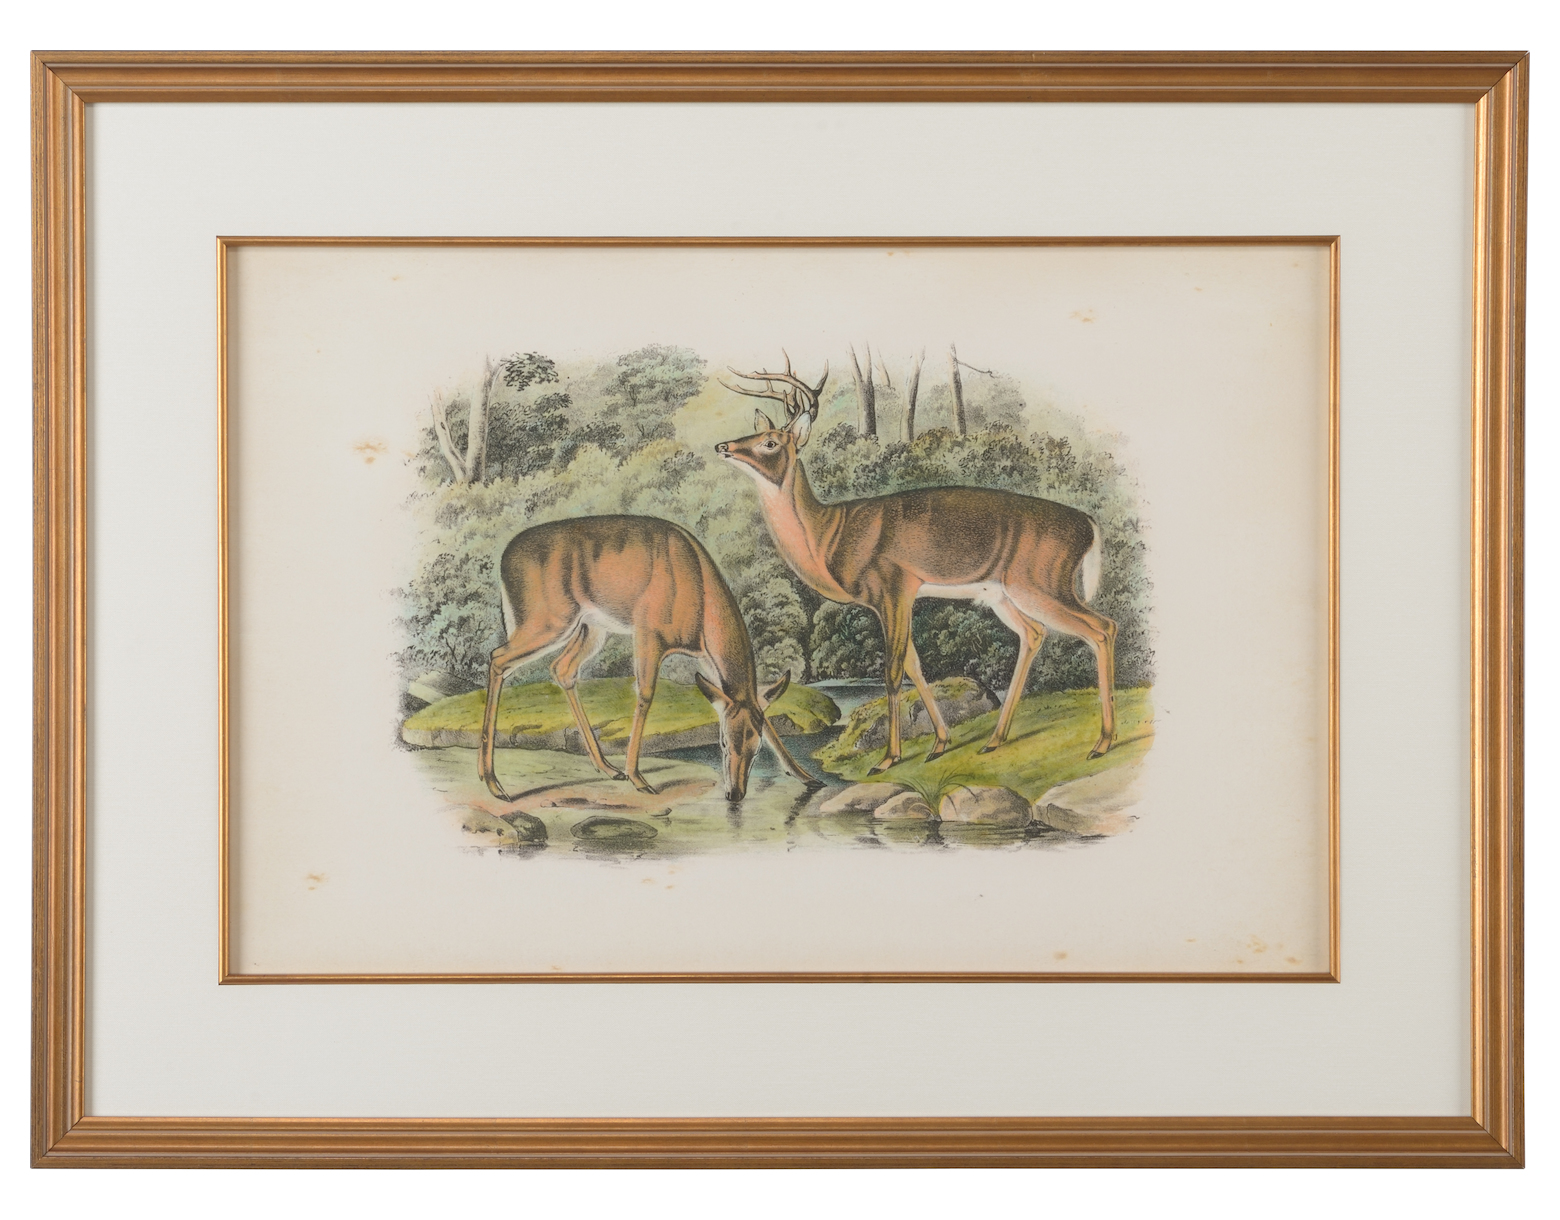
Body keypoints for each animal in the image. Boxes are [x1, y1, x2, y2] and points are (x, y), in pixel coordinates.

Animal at [477, 515, 820, 804]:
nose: (734, 794)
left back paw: (606, 768)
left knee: (561, 668)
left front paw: (807, 777)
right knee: (498, 658)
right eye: (722, 742)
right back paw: (494, 782)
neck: (702, 600)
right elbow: (645, 694)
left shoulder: (707, 658)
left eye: (755, 746)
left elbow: (761, 710)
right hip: (549, 621)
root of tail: (504, 560)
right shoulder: (649, 633)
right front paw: (638, 778)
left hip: (590, 628)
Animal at [716, 354, 1116, 774]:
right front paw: (940, 743)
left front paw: (888, 758)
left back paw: (1103, 742)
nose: (723, 445)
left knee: (1102, 627)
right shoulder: (894, 598)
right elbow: (914, 665)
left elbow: (893, 671)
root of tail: (1089, 525)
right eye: (758, 434)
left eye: (770, 442)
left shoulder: (893, 586)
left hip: (1041, 581)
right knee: (1035, 633)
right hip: (1005, 593)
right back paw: (996, 739)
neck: (828, 536)